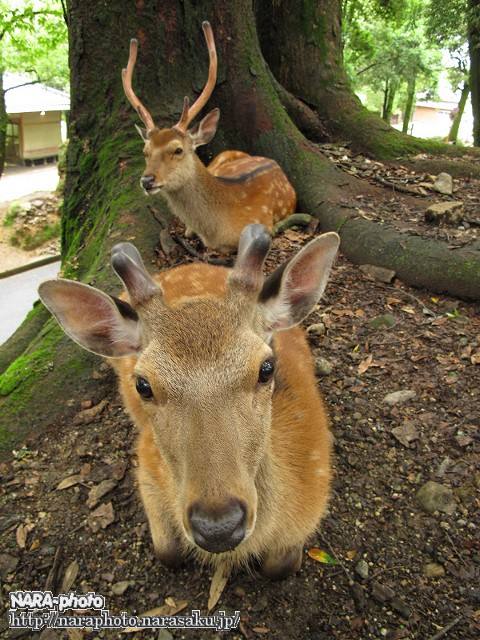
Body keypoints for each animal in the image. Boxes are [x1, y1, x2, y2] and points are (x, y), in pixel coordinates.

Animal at [39, 225, 339, 578]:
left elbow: (279, 566)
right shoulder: (147, 466)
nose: (219, 527)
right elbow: (167, 551)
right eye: (143, 385)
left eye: (267, 368)